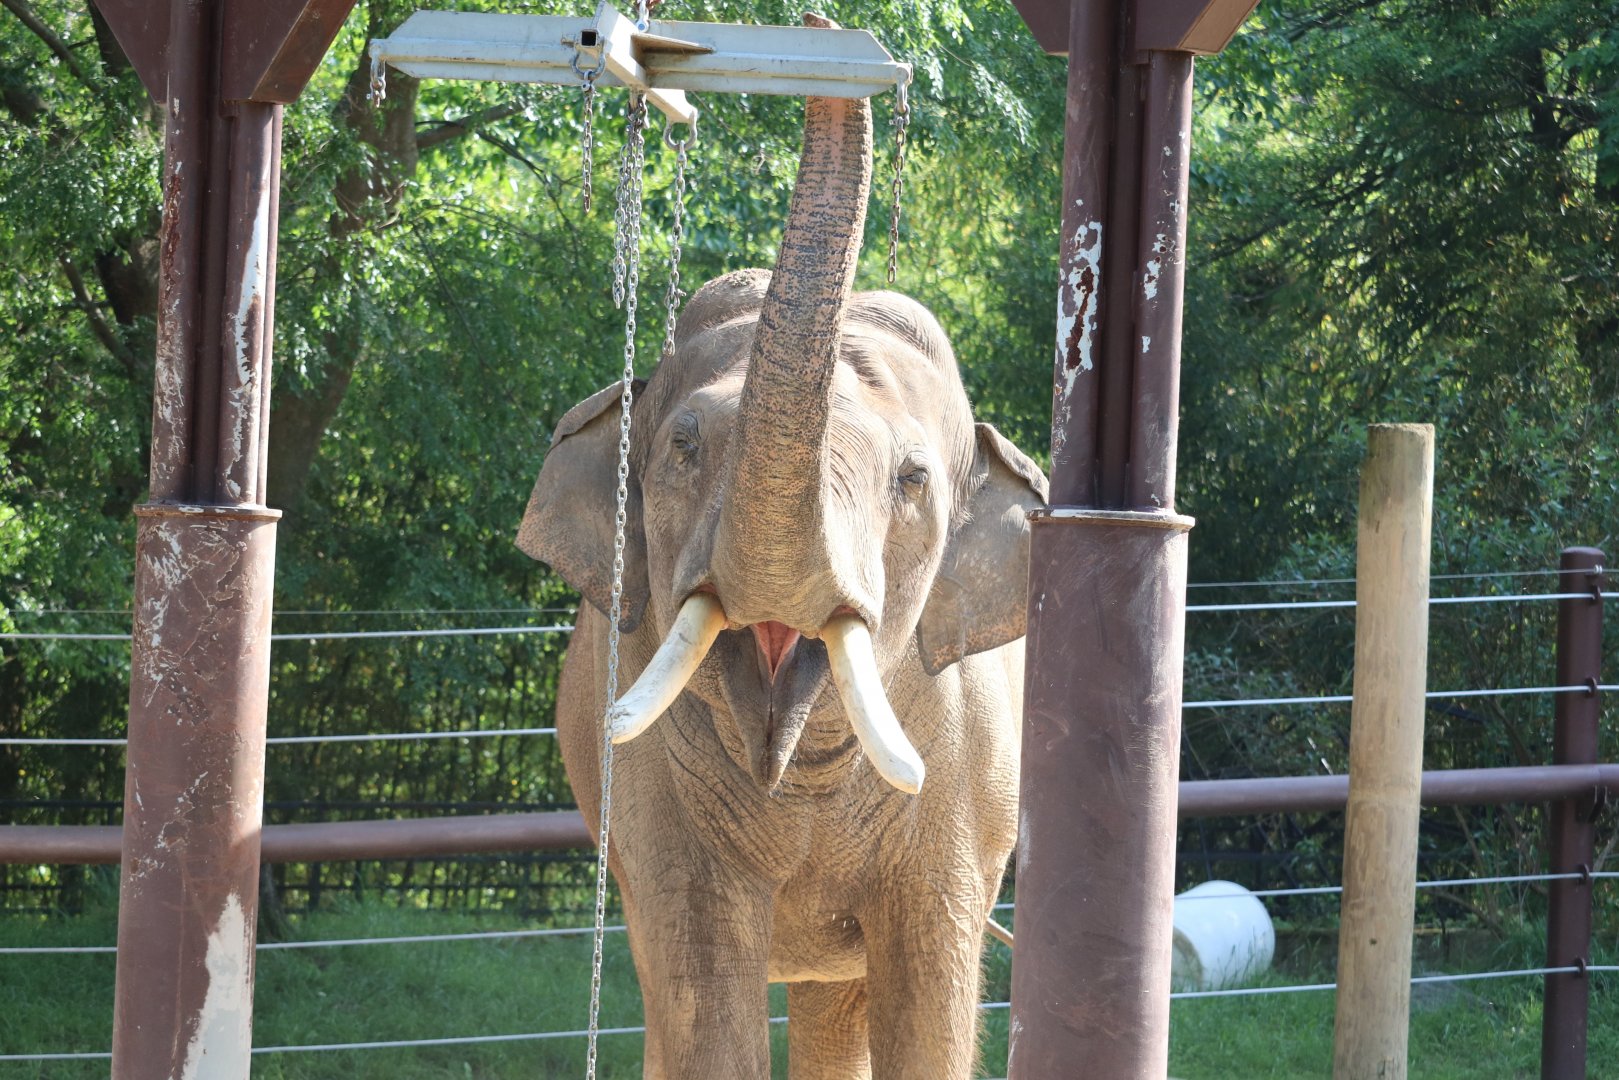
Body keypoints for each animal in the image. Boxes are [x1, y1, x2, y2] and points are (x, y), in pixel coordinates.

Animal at [516, 42, 1048, 1080]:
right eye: (683, 448)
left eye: (911, 480)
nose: (824, 37)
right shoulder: (657, 806)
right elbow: (702, 990)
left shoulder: (962, 783)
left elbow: (930, 993)